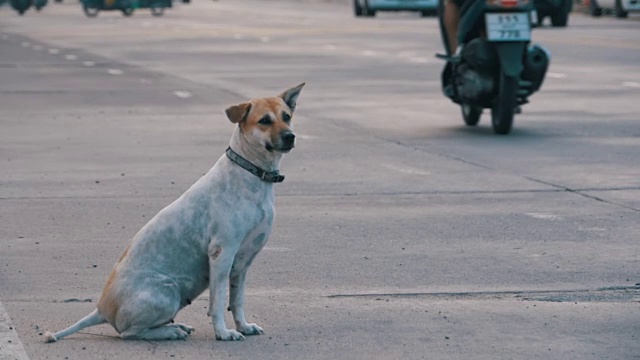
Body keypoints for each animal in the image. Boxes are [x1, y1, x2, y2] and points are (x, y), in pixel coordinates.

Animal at [45, 82, 304, 344]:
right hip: (168, 291)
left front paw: (243, 326)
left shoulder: (243, 262)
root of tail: (101, 309)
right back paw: (170, 331)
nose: (290, 136)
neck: (250, 173)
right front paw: (223, 332)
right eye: (264, 120)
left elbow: (237, 300)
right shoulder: (222, 254)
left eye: (286, 117)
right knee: (130, 333)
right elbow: (218, 302)